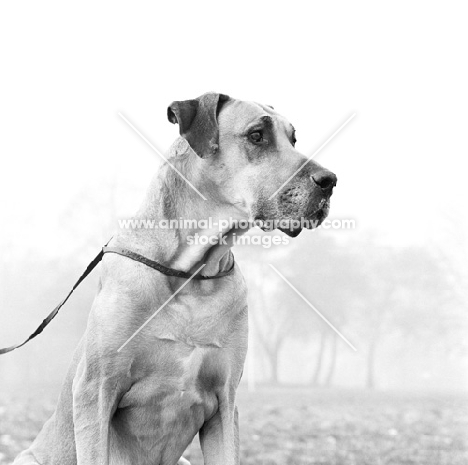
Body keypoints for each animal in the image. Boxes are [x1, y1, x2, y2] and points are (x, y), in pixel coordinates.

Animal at [12, 92, 336, 462]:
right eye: (257, 135)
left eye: (293, 139)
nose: (330, 181)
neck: (189, 273)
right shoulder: (95, 392)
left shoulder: (225, 404)